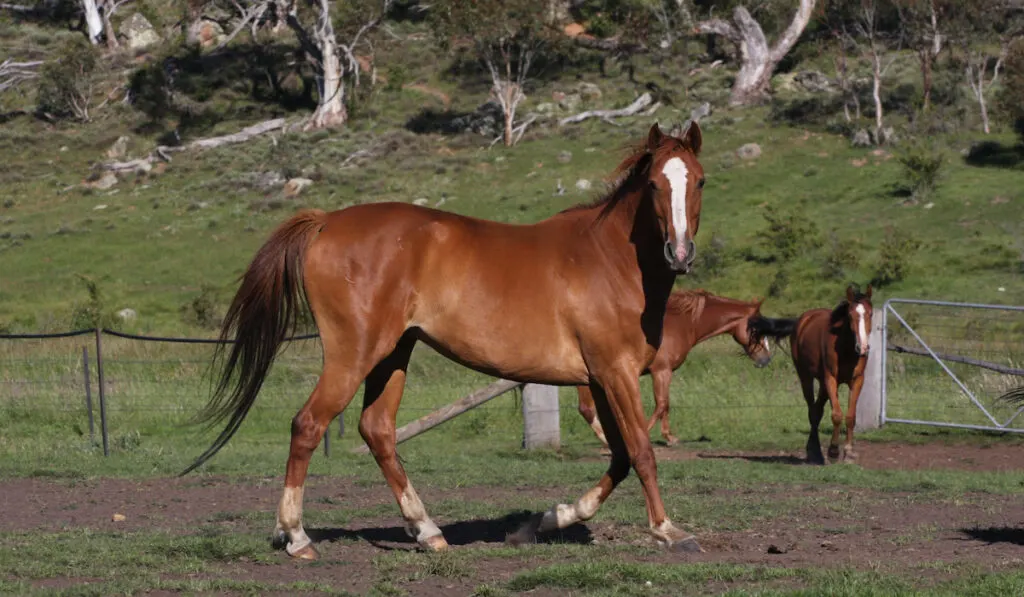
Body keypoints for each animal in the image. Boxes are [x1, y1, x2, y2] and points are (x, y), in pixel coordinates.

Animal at [184, 122, 708, 561]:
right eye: (654, 184)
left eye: (699, 181)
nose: (680, 254)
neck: (608, 260)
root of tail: (327, 221)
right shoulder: (615, 373)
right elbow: (641, 451)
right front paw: (668, 530)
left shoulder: (599, 379)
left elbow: (619, 456)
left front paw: (547, 520)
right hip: (353, 355)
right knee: (308, 425)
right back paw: (296, 537)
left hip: (393, 355)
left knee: (377, 430)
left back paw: (427, 530)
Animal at [581, 288, 794, 448]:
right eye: (757, 330)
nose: (766, 359)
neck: (679, 325)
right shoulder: (661, 372)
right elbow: (661, 404)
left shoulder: (665, 373)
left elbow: (666, 404)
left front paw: (669, 437)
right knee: (587, 409)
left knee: (586, 409)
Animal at [790, 286, 872, 466]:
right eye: (850, 315)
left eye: (870, 314)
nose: (862, 347)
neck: (846, 349)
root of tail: (805, 319)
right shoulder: (831, 379)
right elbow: (836, 415)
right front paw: (833, 451)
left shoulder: (857, 381)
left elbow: (850, 416)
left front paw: (848, 453)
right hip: (806, 377)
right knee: (813, 411)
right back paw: (815, 452)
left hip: (822, 384)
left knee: (817, 410)